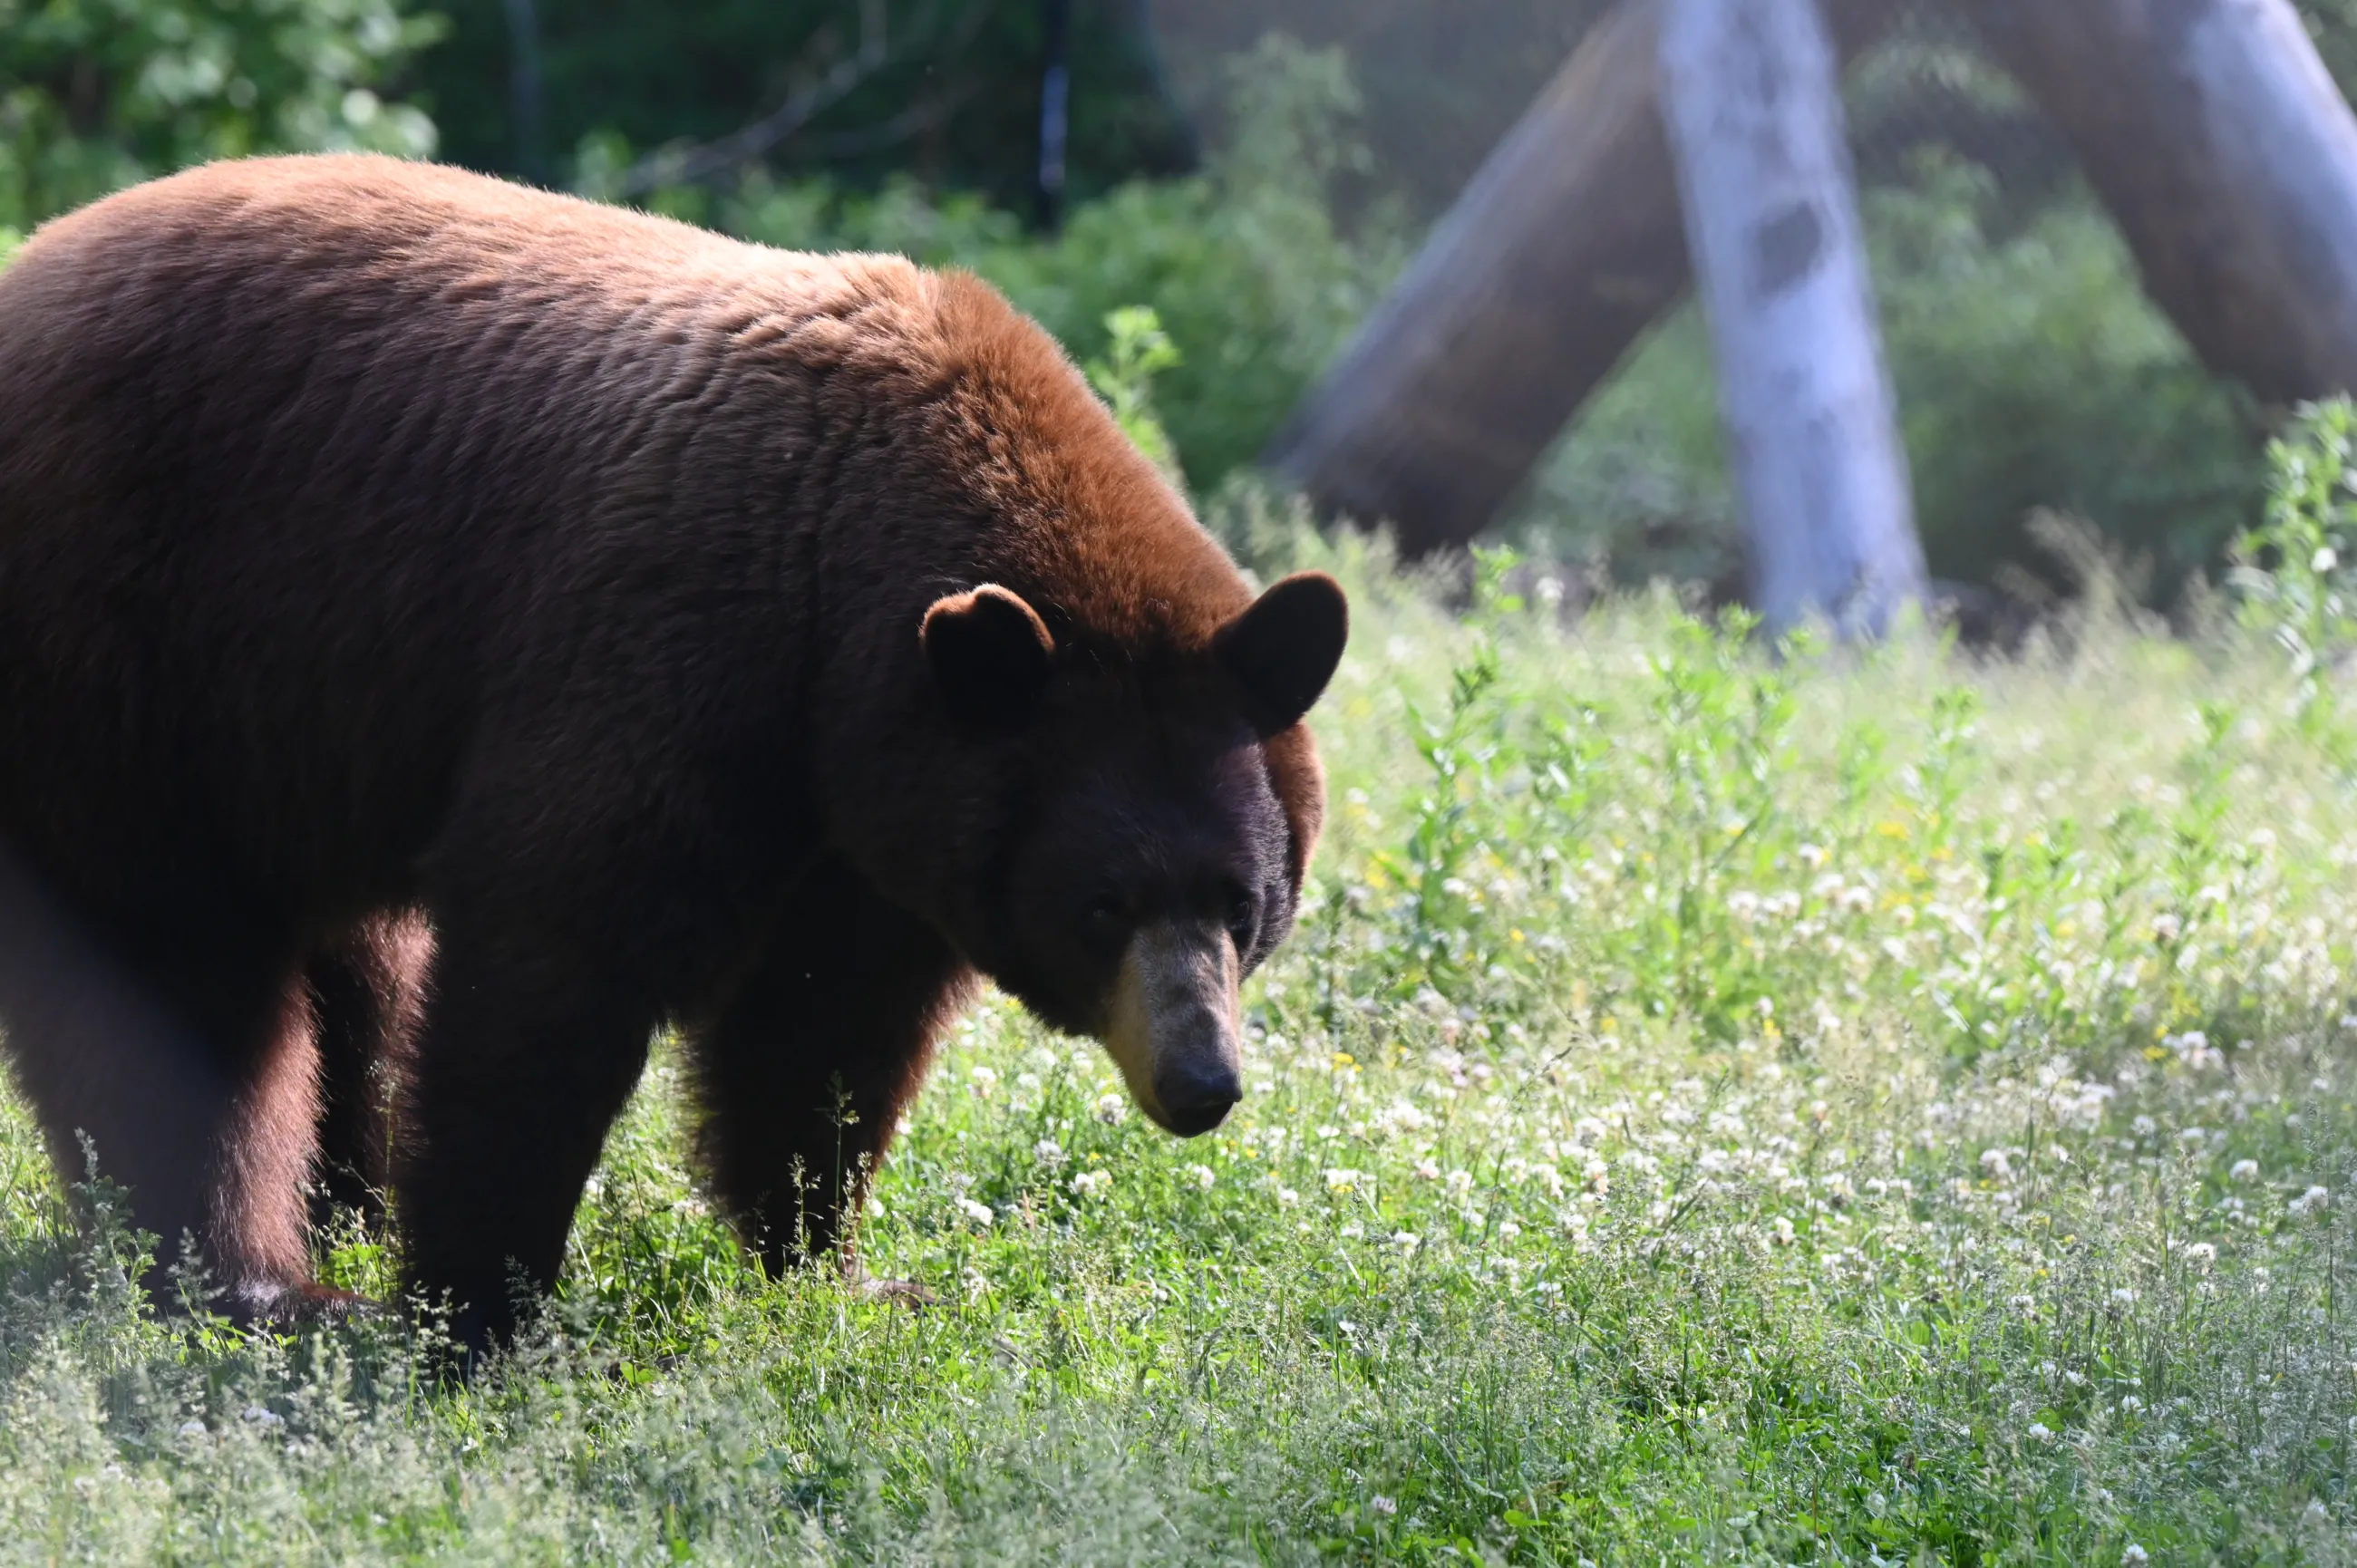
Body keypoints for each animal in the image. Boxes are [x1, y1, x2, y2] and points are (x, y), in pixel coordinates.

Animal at [0, 154, 1346, 1350]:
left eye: (1244, 901)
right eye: (1103, 901)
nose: (1203, 1082)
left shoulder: (872, 818)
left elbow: (820, 1030)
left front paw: (841, 1269)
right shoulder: (664, 649)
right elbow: (553, 961)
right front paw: (483, 1305)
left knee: (351, 973)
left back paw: (337, 1217)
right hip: (129, 661)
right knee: (179, 981)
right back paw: (252, 1282)